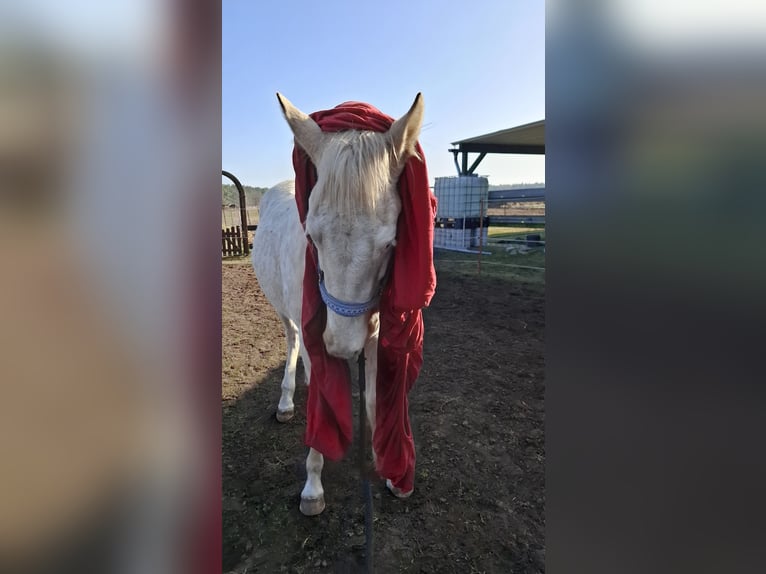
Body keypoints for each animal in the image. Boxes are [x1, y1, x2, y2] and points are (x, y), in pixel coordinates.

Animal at [252, 93, 426, 516]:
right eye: (311, 236)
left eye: (390, 243)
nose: (341, 345)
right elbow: (323, 406)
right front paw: (313, 486)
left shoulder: (376, 336)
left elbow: (376, 400)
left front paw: (388, 468)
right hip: (284, 313)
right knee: (294, 343)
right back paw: (287, 399)